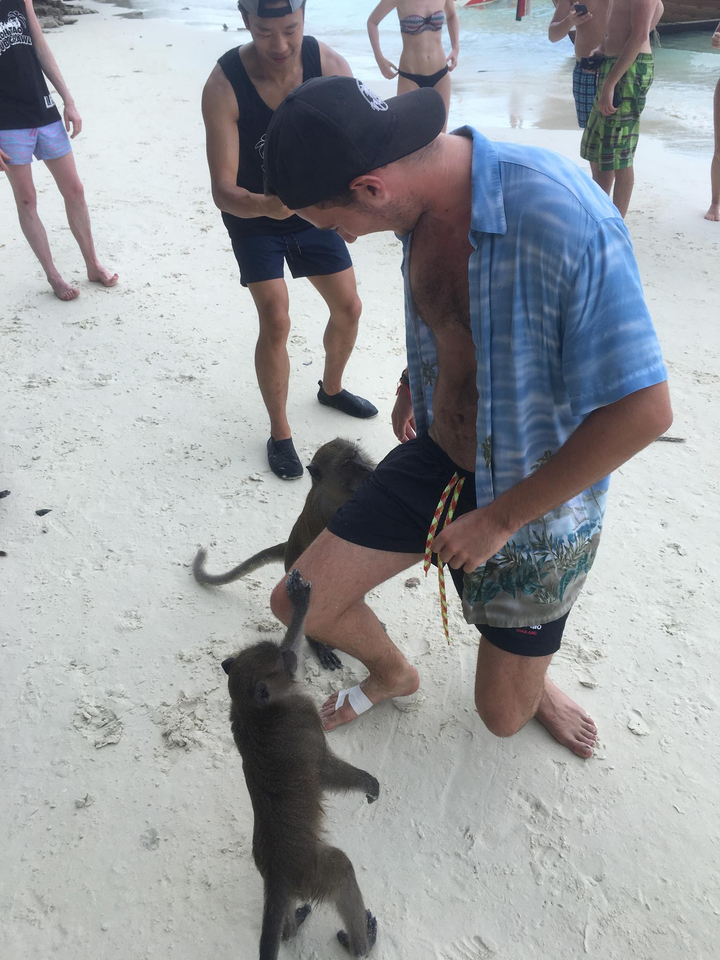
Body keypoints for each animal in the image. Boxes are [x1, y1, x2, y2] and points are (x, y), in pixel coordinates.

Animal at [194, 438, 375, 671]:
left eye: (356, 456)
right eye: (346, 464)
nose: (366, 468)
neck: (336, 492)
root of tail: (289, 547)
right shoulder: (330, 510)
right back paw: (317, 643)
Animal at [222, 569, 379, 960]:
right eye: (281, 660)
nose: (290, 656)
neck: (252, 712)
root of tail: (277, 873)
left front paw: (300, 602)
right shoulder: (303, 716)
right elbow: (324, 772)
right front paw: (370, 784)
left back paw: (290, 928)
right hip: (312, 870)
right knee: (341, 870)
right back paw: (361, 944)